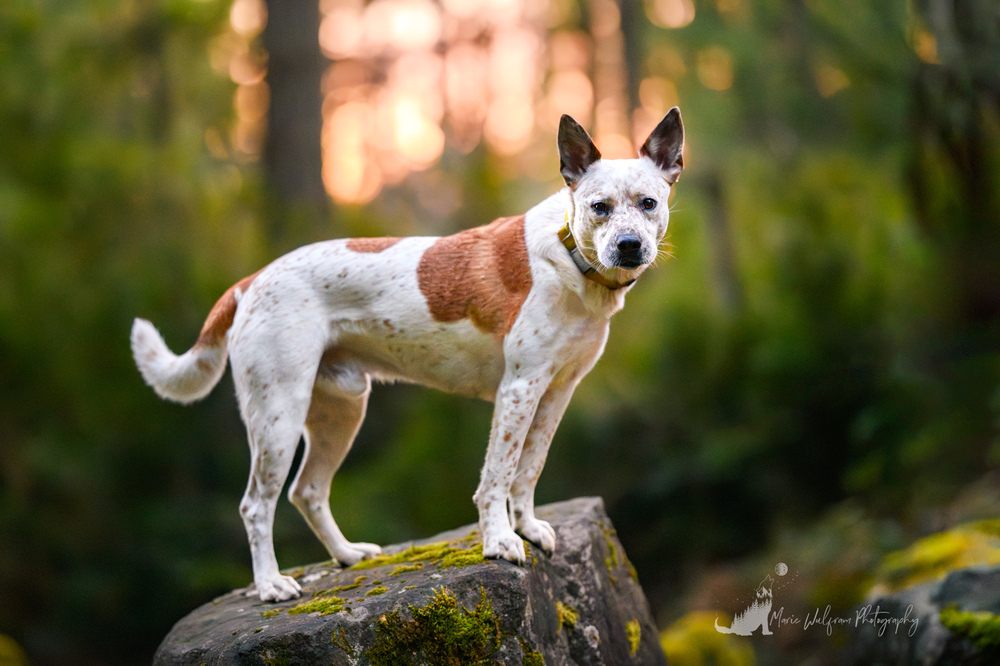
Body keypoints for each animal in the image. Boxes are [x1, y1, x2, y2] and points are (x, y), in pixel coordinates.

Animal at [131, 110, 680, 600]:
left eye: (649, 203)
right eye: (599, 206)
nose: (629, 246)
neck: (568, 259)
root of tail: (252, 280)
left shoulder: (556, 393)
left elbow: (528, 470)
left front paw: (527, 527)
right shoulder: (519, 389)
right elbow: (498, 475)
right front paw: (500, 540)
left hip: (339, 411)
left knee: (306, 491)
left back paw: (348, 556)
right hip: (277, 416)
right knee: (255, 505)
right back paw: (270, 585)